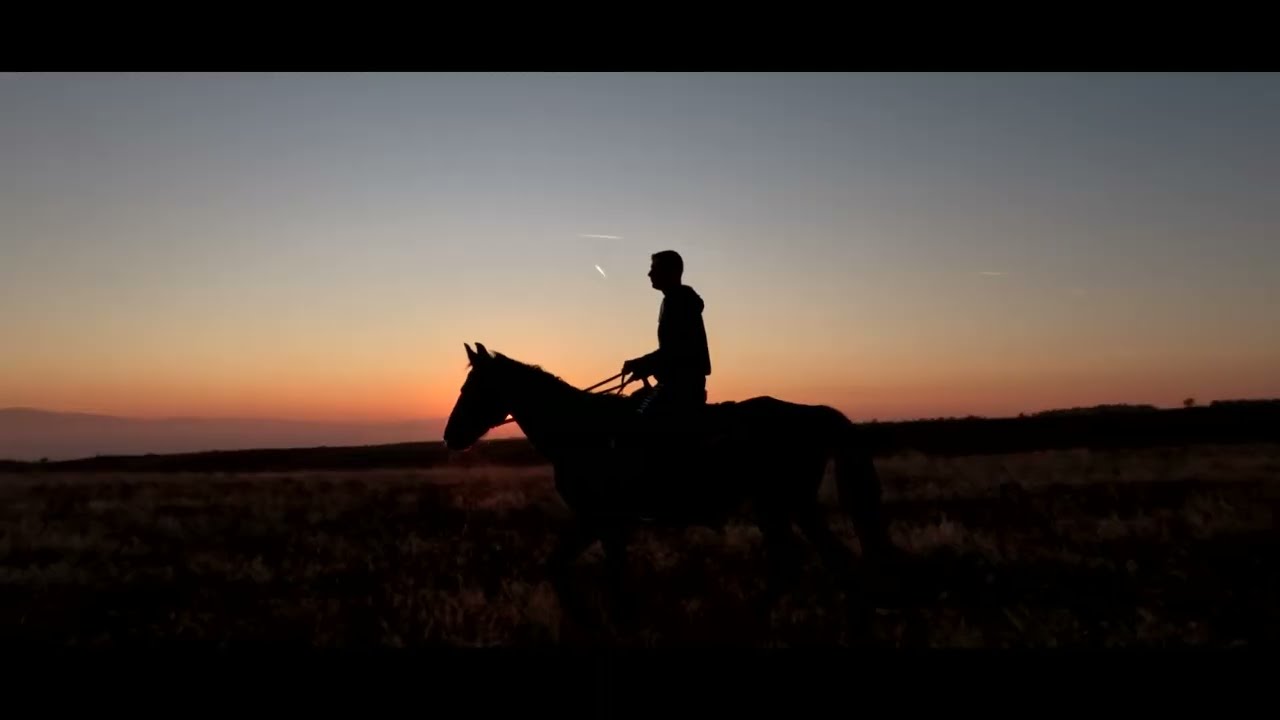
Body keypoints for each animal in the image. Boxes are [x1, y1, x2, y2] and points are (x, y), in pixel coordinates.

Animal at [443, 342, 898, 617]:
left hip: (783, 505)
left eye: (474, 386)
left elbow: (565, 567)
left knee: (814, 559)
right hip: (784, 508)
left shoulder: (597, 518)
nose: (450, 436)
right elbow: (593, 568)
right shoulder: (604, 522)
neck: (583, 430)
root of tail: (812, 413)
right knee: (807, 560)